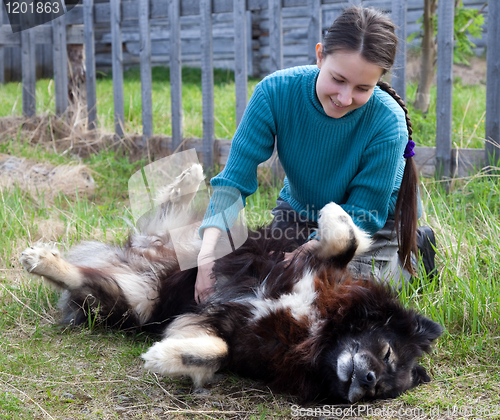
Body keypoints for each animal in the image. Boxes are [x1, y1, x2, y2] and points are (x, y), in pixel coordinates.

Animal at [18, 163, 442, 404]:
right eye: (387, 354)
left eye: (382, 390)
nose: (367, 381)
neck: (320, 330)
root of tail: (135, 256)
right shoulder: (309, 268)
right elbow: (348, 238)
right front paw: (334, 211)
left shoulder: (230, 333)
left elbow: (216, 351)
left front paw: (164, 356)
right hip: (181, 248)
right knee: (175, 209)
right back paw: (188, 177)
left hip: (135, 301)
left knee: (84, 279)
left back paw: (45, 261)